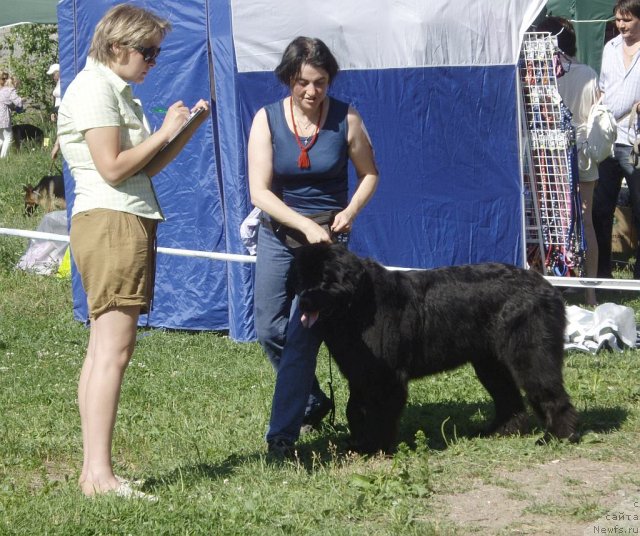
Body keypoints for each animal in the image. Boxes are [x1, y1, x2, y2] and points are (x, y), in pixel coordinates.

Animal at [292, 243, 580, 452]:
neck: (360, 304)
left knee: (550, 394)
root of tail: (546, 285)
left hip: (530, 354)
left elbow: (379, 412)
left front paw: (376, 446)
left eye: (324, 280)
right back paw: (499, 431)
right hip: (490, 363)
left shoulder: (386, 376)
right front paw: (358, 443)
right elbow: (356, 409)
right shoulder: (360, 373)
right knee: (509, 398)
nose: (304, 301)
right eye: (302, 279)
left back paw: (557, 436)